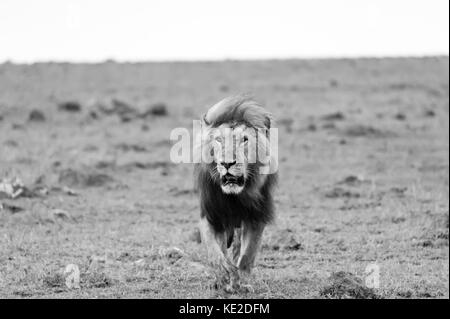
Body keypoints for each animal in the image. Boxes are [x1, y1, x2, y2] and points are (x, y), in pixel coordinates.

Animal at [193, 95, 278, 292]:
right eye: (218, 140)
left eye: (245, 139)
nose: (227, 163)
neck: (235, 197)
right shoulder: (211, 214)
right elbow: (214, 250)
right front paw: (224, 274)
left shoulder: (257, 217)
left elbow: (248, 254)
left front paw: (243, 282)